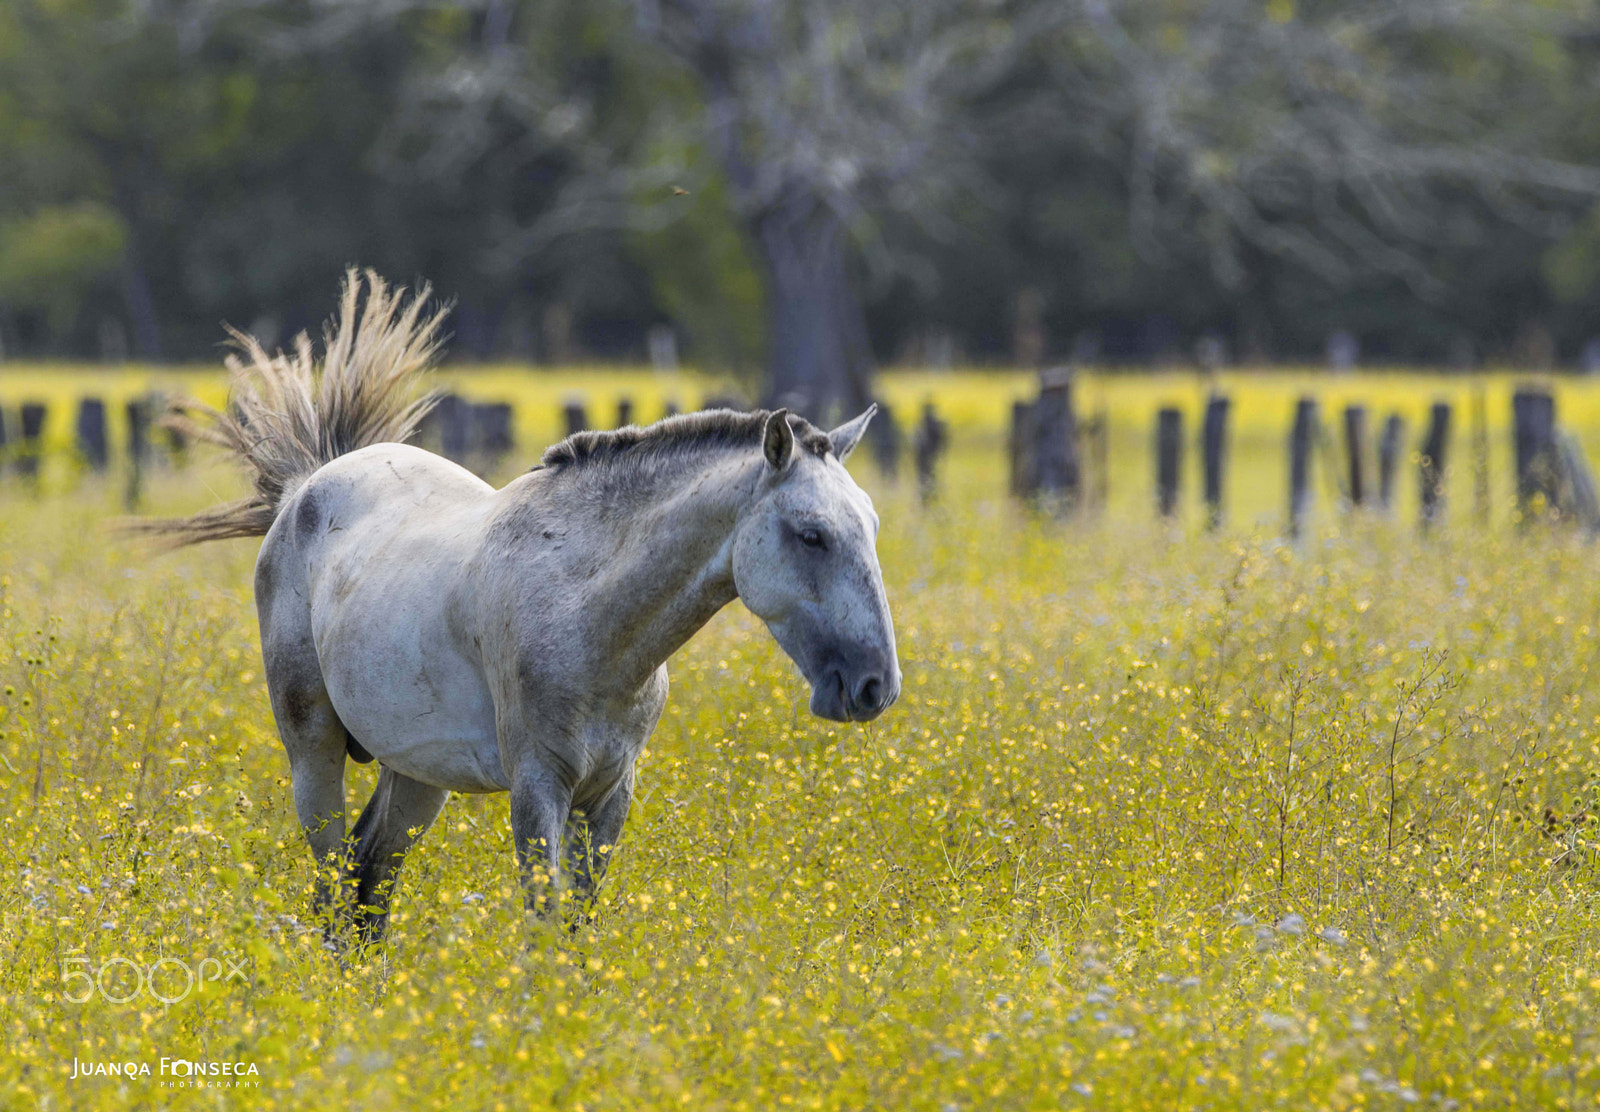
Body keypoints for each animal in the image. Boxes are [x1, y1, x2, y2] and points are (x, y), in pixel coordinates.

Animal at [148, 270, 902, 940]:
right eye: (811, 534)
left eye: (872, 524)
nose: (875, 686)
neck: (587, 615)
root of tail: (307, 484)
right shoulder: (538, 788)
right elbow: (544, 924)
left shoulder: (610, 795)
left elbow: (577, 926)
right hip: (313, 751)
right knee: (335, 883)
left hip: (415, 773)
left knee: (370, 878)